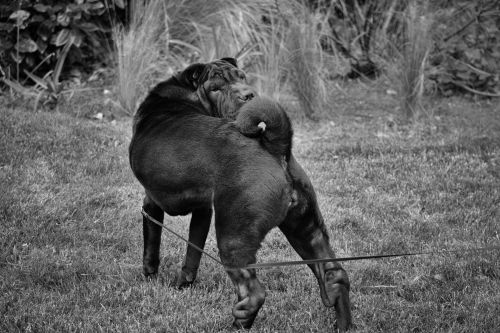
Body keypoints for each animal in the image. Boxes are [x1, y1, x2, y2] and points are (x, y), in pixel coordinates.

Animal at [129, 57, 352, 330]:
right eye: (216, 88)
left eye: (241, 77)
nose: (248, 94)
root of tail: (275, 146)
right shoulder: (203, 210)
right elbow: (193, 253)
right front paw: (183, 285)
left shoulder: (151, 202)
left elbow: (151, 246)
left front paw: (150, 277)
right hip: (305, 227)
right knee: (334, 275)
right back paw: (344, 325)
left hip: (234, 235)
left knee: (253, 293)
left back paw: (238, 324)